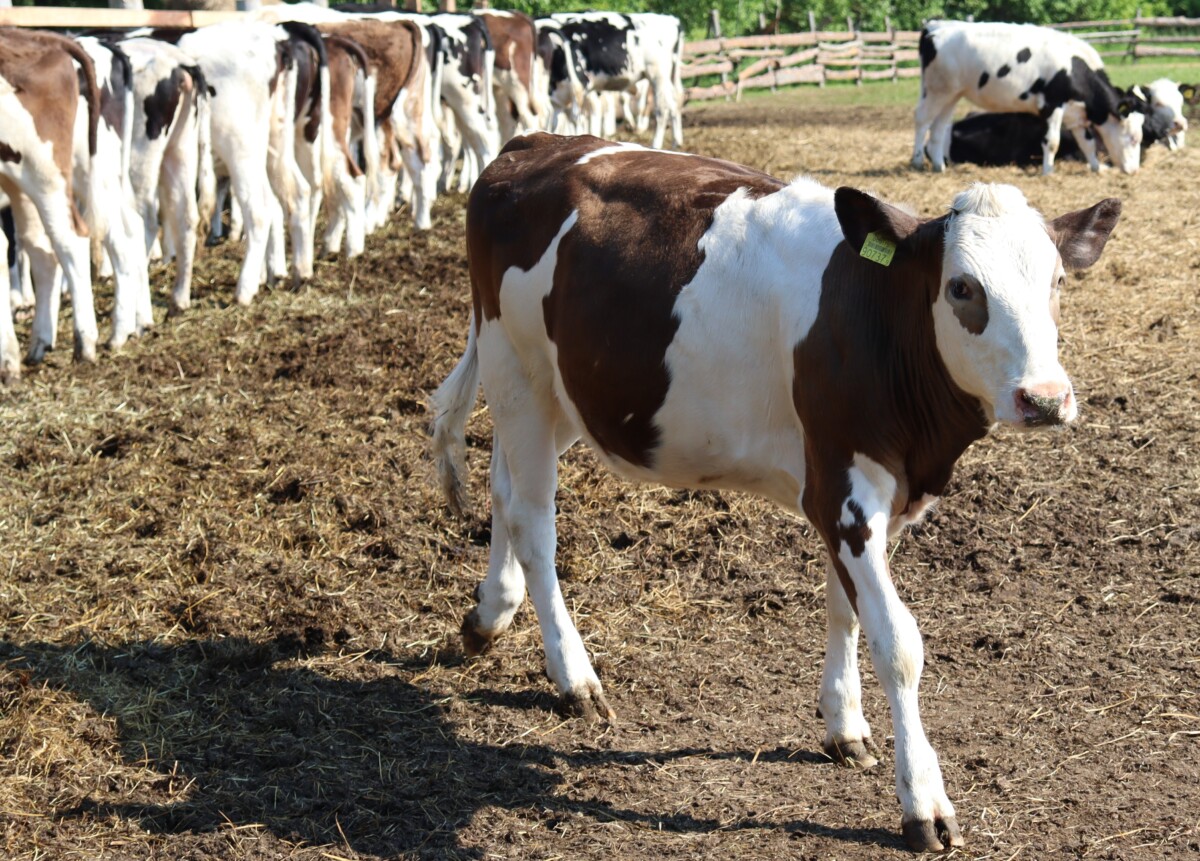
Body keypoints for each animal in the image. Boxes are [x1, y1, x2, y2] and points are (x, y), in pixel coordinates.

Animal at [0, 26, 100, 371]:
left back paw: (85, 344)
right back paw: (38, 344)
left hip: (45, 172)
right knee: (40, 249)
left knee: (70, 241)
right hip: (17, 180)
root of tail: (44, 38)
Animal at [434, 134, 1123, 858]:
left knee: (502, 485)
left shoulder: (864, 496)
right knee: (534, 521)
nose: (1045, 397)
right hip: (514, 365)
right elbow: (898, 642)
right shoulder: (843, 492)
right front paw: (924, 800)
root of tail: (533, 144)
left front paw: (844, 724)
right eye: (963, 287)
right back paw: (573, 676)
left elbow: (847, 611)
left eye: (1057, 282)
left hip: (568, 391)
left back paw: (489, 614)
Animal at [552, 10, 686, 149]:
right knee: (676, 100)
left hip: (658, 75)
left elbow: (577, 117)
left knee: (662, 108)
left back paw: (655, 144)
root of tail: (671, 20)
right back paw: (676, 143)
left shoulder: (579, 85)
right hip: (671, 75)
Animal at [916, 20, 1142, 175]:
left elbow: (1088, 143)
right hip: (937, 90)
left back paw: (939, 166)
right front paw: (1048, 171)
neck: (1074, 67)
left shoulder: (1076, 114)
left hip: (951, 95)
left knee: (939, 127)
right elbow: (1052, 141)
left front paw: (1097, 167)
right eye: (1133, 138)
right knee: (922, 120)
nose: (1134, 170)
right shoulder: (1052, 104)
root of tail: (935, 26)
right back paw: (916, 162)